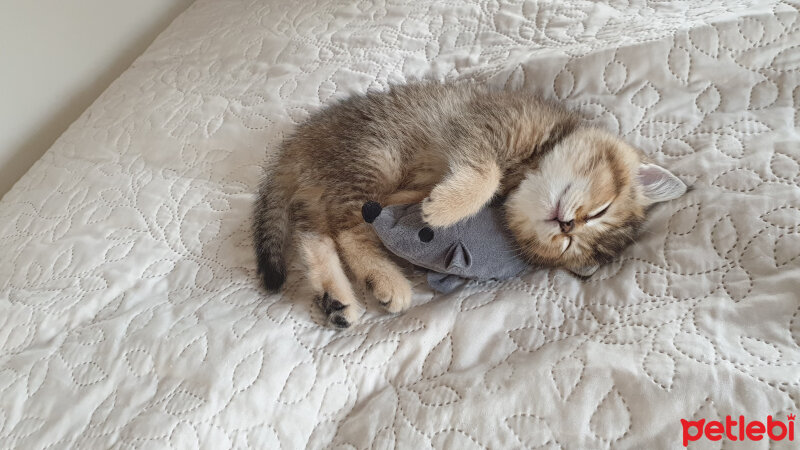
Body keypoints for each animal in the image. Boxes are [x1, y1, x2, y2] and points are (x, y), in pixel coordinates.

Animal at [252, 81, 688, 326]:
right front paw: (446, 206)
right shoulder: (479, 124)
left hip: (340, 183)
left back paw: (340, 298)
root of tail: (298, 145)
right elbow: (485, 171)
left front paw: (432, 202)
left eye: (569, 247)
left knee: (318, 235)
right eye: (599, 213)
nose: (567, 226)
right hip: (374, 154)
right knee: (346, 230)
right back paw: (386, 280)